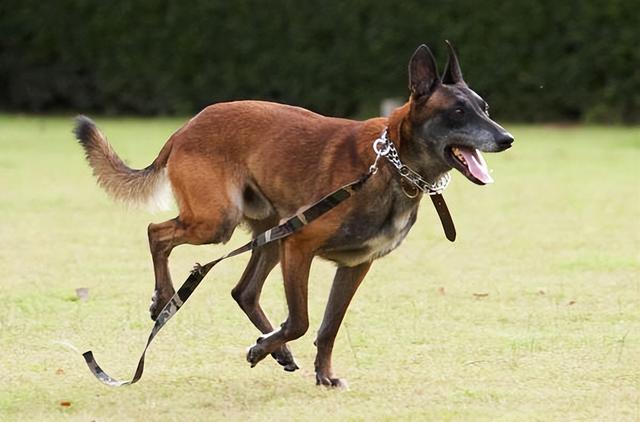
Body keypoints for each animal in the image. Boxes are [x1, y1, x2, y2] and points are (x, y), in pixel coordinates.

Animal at [76, 42, 516, 386]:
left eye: (485, 108)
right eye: (458, 112)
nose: (506, 138)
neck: (389, 164)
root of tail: (184, 128)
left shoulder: (354, 265)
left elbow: (328, 326)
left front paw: (322, 373)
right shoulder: (300, 245)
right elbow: (302, 320)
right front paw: (261, 350)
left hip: (271, 232)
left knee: (243, 291)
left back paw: (278, 351)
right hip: (220, 222)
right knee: (157, 232)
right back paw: (166, 297)